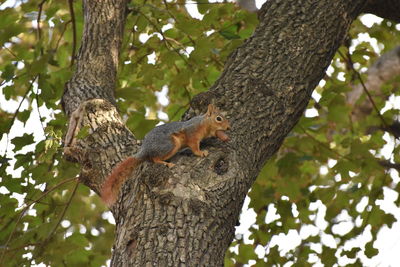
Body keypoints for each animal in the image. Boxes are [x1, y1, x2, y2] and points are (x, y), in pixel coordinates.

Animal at [101, 103, 231, 206]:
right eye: (218, 118)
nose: (228, 127)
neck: (204, 123)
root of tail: (145, 149)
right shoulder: (192, 134)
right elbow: (194, 147)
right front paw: (201, 152)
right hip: (170, 145)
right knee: (154, 158)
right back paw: (166, 164)